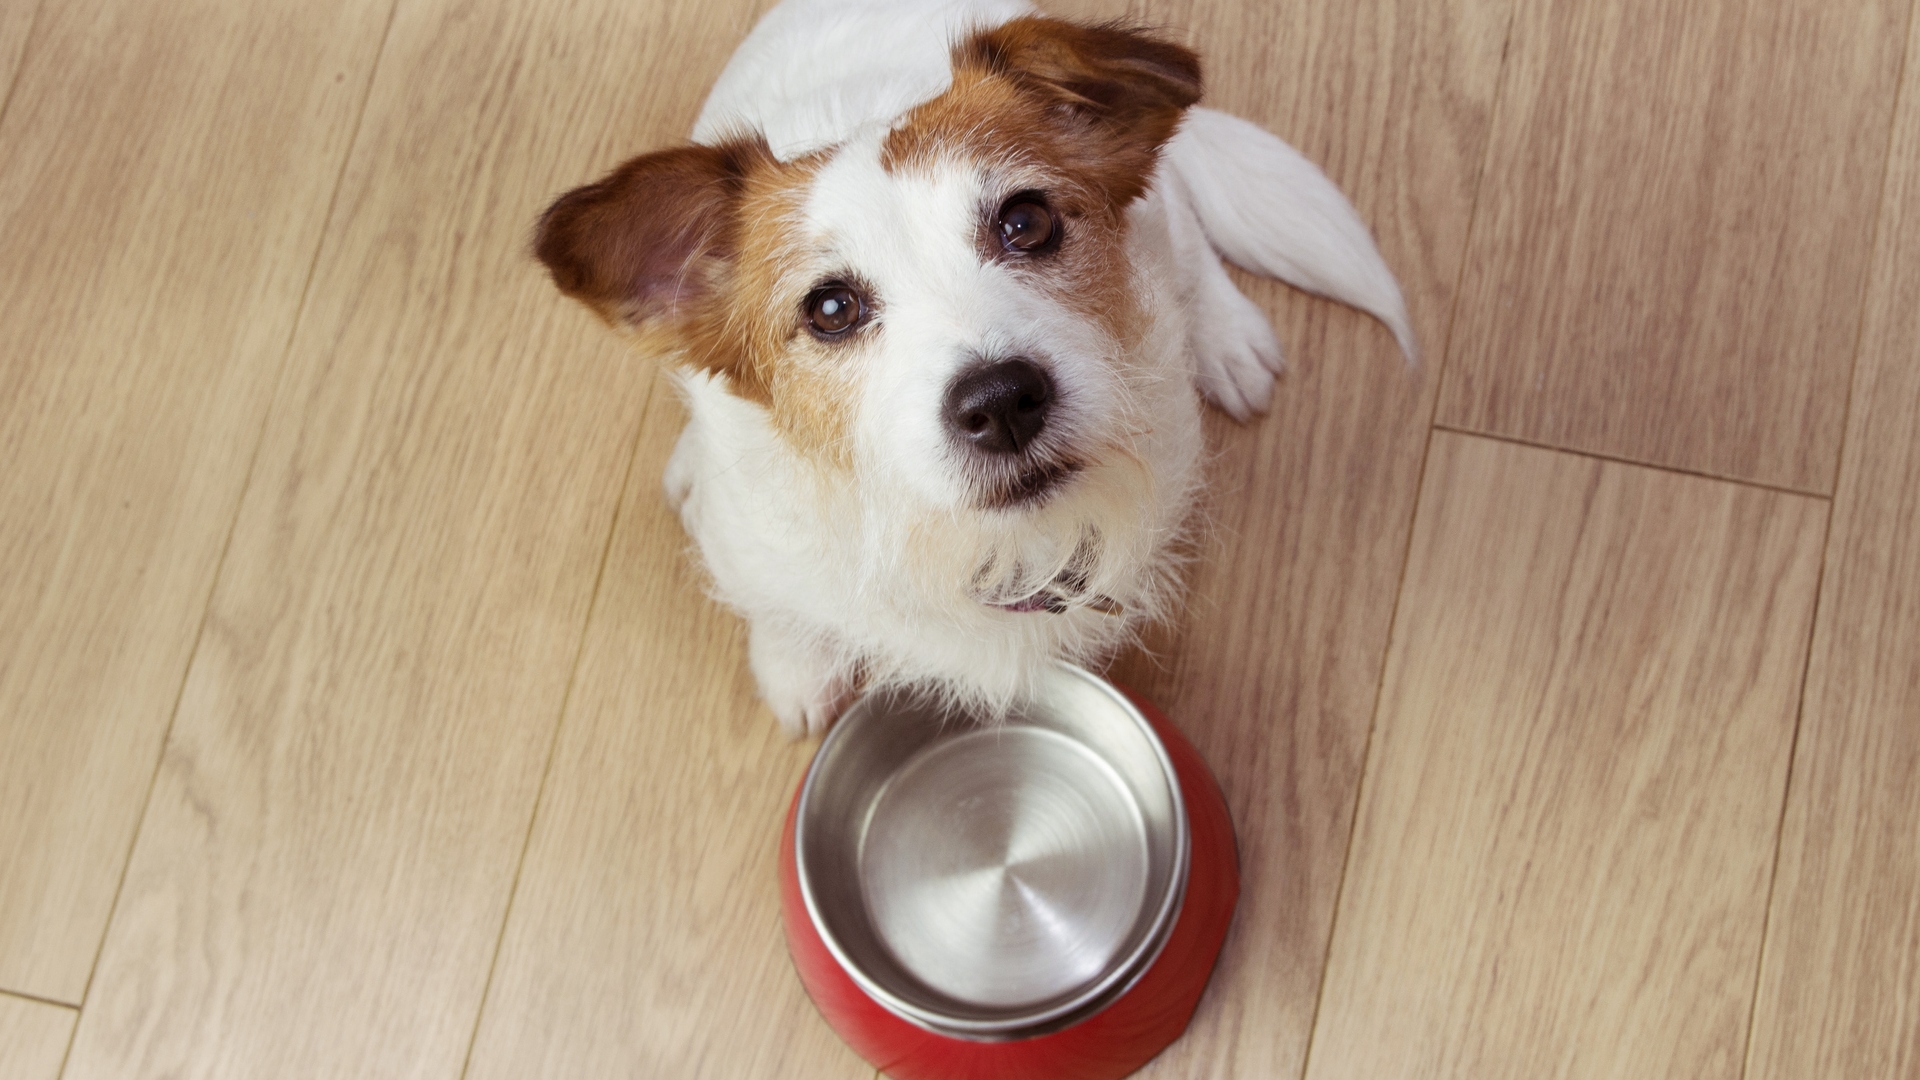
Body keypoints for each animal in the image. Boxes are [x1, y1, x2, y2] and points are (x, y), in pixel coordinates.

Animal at [533, 0, 1420, 730]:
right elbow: (780, 607)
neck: (971, 543)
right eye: (830, 309)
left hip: (1162, 206)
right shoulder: (755, 543)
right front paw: (795, 667)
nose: (1001, 401)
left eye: (1026, 221)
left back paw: (1228, 335)